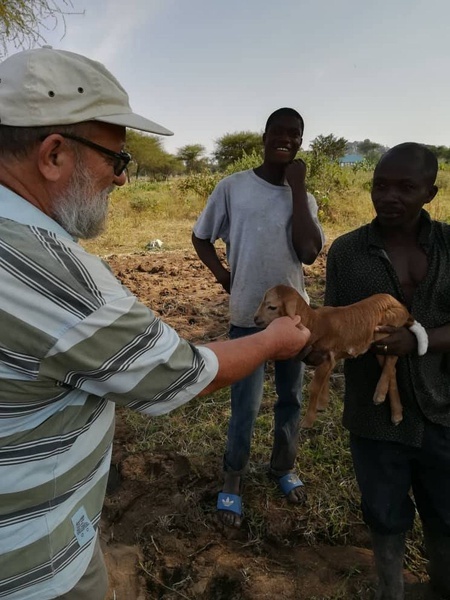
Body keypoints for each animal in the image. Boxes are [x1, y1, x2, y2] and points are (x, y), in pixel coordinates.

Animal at [255, 284, 414, 428]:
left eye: (272, 307)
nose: (256, 319)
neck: (315, 323)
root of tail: (401, 305)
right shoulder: (326, 358)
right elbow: (324, 378)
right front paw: (322, 403)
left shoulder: (326, 356)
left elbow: (314, 387)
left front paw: (307, 421)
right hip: (375, 344)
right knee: (391, 368)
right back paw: (396, 414)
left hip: (388, 329)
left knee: (392, 358)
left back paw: (380, 394)